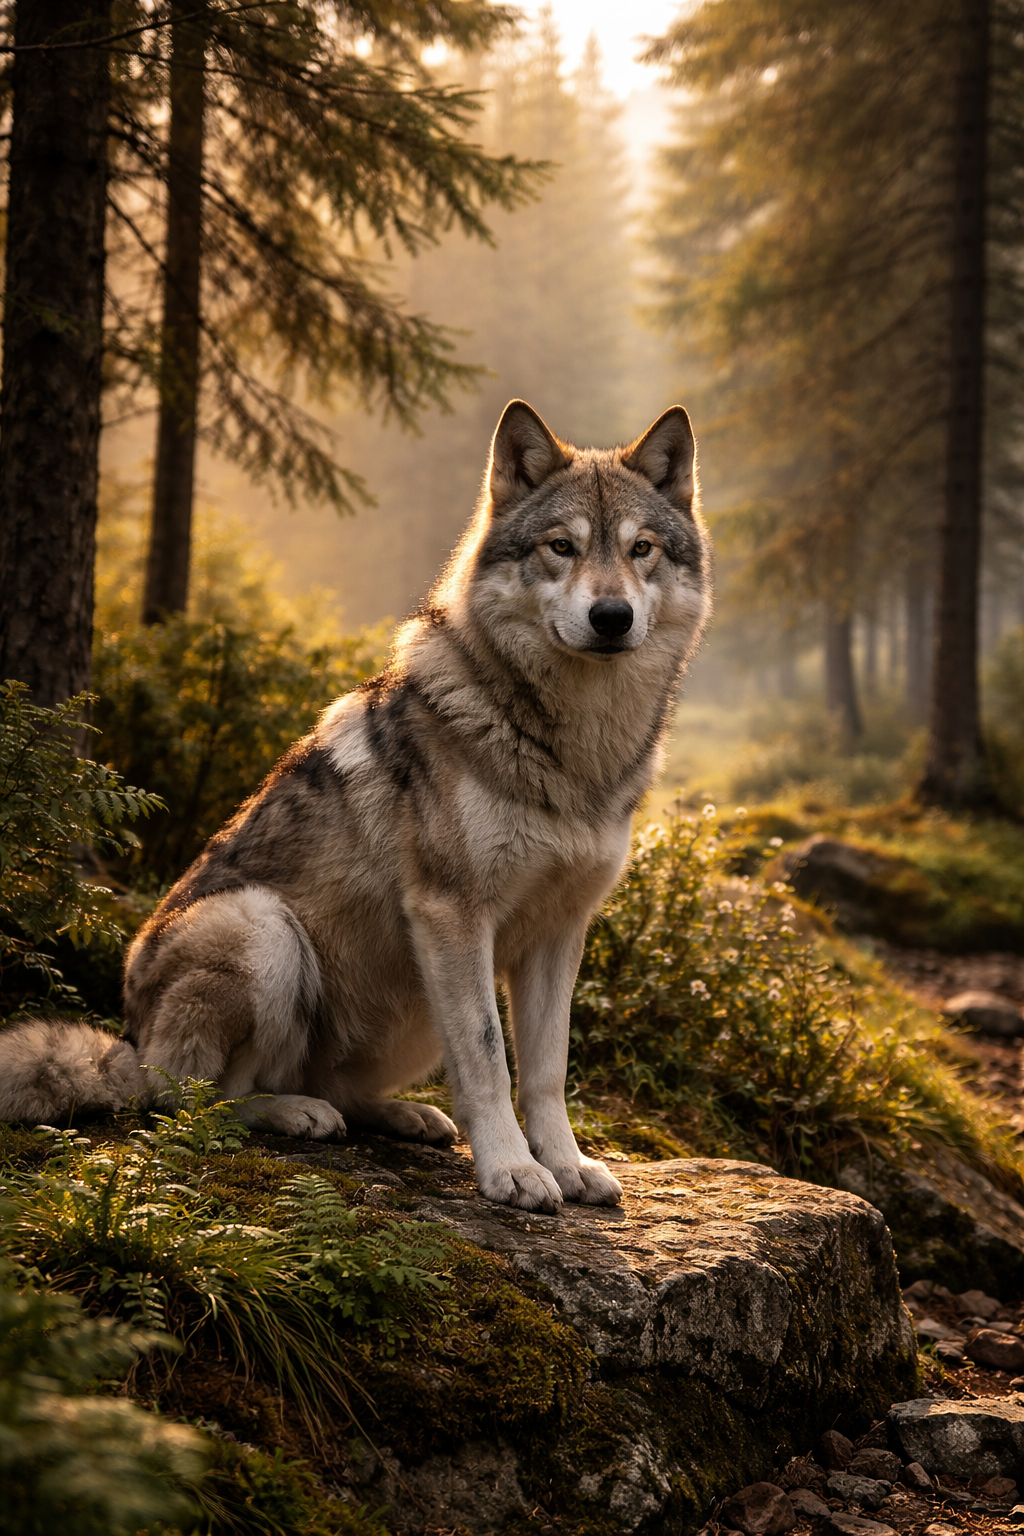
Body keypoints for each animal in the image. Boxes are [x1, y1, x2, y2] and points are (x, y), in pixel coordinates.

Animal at [0, 401, 710, 1212]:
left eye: (641, 549)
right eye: (562, 546)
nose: (612, 615)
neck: (569, 748)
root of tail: (126, 1038)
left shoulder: (559, 932)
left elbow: (547, 1070)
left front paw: (566, 1164)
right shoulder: (453, 915)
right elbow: (490, 1060)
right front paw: (511, 1170)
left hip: (414, 1004)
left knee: (338, 1088)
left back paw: (401, 1115)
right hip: (264, 929)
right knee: (192, 1099)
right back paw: (294, 1112)